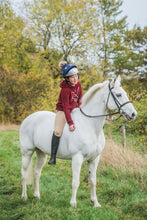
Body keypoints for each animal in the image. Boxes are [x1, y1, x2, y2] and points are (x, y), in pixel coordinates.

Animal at [19, 75, 137, 206]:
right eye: (118, 95)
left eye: (124, 93)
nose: (133, 114)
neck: (89, 125)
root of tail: (28, 118)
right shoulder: (77, 158)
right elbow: (75, 182)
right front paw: (73, 204)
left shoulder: (94, 159)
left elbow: (93, 181)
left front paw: (95, 203)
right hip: (27, 152)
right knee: (24, 173)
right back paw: (24, 196)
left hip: (41, 153)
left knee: (36, 172)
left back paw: (37, 196)